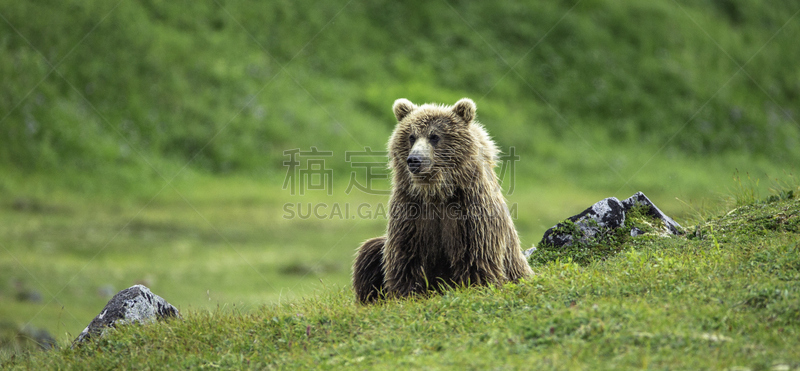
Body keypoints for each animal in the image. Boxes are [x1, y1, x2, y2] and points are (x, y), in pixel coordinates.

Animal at [354, 97, 536, 304]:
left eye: (434, 136)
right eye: (411, 136)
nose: (414, 160)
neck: (436, 192)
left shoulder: (471, 212)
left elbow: (476, 255)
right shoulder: (411, 210)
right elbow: (405, 257)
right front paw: (406, 295)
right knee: (369, 252)